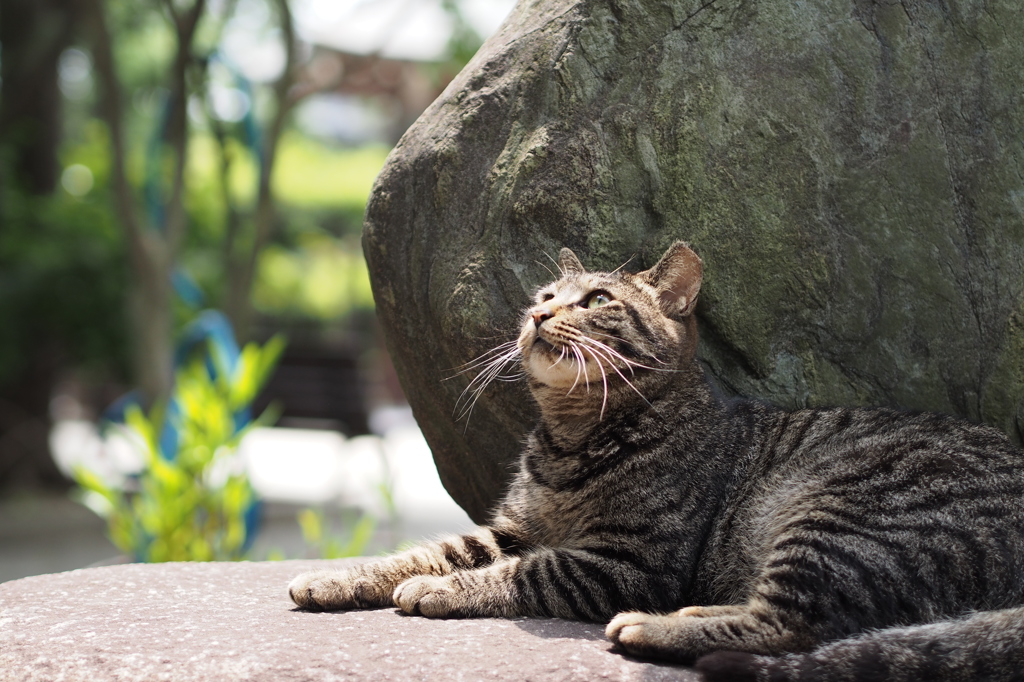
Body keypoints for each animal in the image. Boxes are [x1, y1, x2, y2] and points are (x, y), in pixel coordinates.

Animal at [290, 241, 1024, 675]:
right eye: (543, 298)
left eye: (597, 301)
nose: (537, 316)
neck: (570, 439)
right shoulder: (513, 528)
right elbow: (422, 552)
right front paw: (339, 578)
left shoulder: (626, 561)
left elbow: (525, 572)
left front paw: (440, 590)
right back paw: (693, 615)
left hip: (837, 516)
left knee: (795, 624)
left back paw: (653, 628)